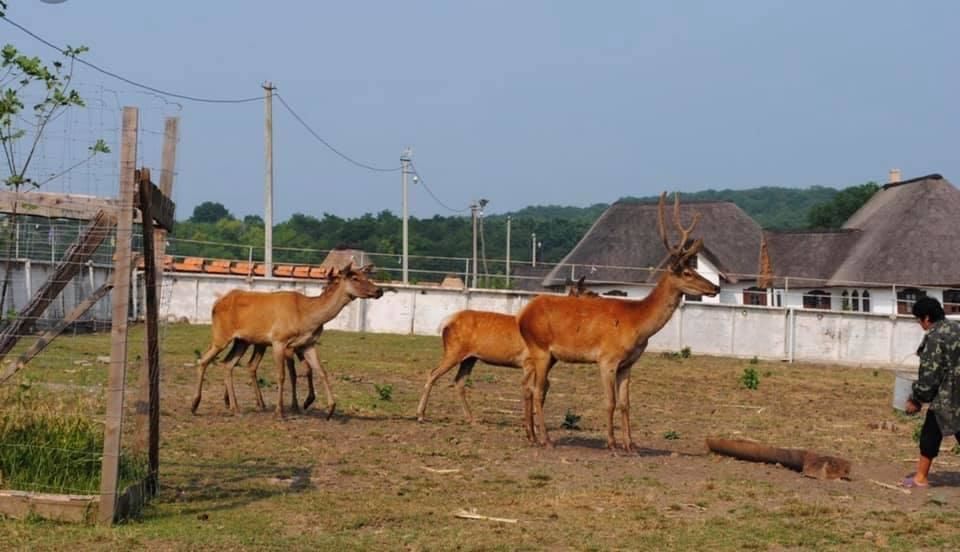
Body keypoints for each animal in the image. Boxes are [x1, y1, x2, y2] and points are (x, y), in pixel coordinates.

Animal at [191, 264, 382, 418]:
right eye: (355, 278)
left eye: (366, 275)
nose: (379, 290)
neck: (306, 317)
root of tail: (215, 304)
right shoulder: (279, 340)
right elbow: (282, 375)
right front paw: (280, 412)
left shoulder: (308, 344)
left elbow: (321, 371)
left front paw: (330, 408)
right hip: (221, 335)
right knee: (204, 360)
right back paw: (195, 405)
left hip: (242, 341)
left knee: (227, 364)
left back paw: (235, 408)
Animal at [416, 276, 596, 422]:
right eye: (588, 292)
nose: (600, 297)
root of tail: (446, 322)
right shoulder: (529, 361)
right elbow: (536, 388)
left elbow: (544, 386)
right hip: (454, 350)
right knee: (433, 373)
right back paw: (420, 415)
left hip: (470, 357)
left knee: (459, 381)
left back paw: (471, 418)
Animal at [516, 192, 720, 450]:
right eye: (687, 273)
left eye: (694, 269)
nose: (715, 287)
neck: (637, 324)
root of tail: (522, 315)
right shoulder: (607, 359)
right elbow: (610, 401)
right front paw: (612, 443)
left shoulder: (628, 364)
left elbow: (625, 404)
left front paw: (631, 445)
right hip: (540, 348)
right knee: (538, 390)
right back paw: (546, 439)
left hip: (549, 355)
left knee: (529, 388)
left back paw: (532, 436)